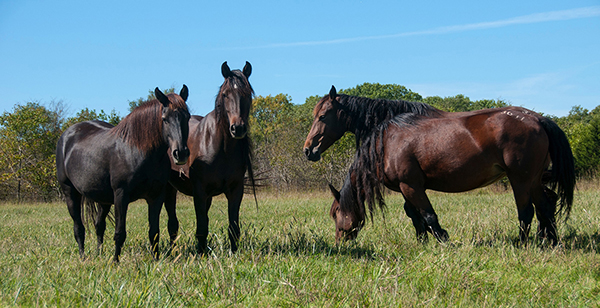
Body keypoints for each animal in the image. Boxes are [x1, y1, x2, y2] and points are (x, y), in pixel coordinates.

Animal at [55, 85, 190, 262]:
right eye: (165, 119)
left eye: (187, 117)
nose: (180, 153)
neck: (137, 150)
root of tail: (66, 136)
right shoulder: (121, 196)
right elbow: (120, 233)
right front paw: (115, 262)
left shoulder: (156, 197)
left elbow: (154, 232)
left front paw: (156, 260)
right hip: (70, 193)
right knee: (79, 228)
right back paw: (83, 257)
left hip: (103, 199)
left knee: (99, 225)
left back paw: (99, 253)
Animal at [164, 61, 255, 254]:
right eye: (226, 94)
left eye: (247, 93)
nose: (238, 128)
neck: (221, 148)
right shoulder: (199, 192)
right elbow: (201, 227)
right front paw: (201, 254)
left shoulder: (235, 191)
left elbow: (233, 227)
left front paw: (233, 252)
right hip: (169, 189)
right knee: (172, 224)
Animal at [328, 110, 576, 245]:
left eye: (335, 213)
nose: (339, 243)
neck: (387, 145)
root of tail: (538, 119)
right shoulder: (406, 188)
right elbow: (415, 216)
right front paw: (422, 242)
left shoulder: (411, 186)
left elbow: (428, 215)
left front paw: (443, 240)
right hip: (533, 181)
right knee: (545, 206)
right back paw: (550, 241)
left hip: (521, 180)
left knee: (526, 212)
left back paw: (523, 243)